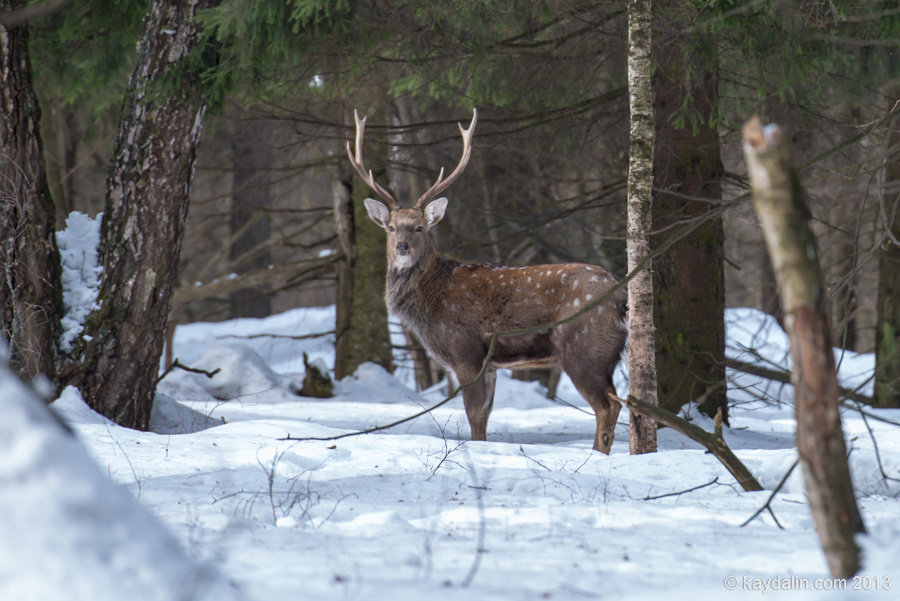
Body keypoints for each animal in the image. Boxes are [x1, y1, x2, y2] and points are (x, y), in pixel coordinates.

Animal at [346, 108, 628, 453]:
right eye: (390, 227)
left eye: (419, 227)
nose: (402, 247)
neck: (431, 303)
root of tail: (621, 297)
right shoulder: (491, 364)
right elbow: (485, 415)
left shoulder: (466, 350)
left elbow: (474, 416)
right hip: (604, 355)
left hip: (584, 348)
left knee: (608, 406)